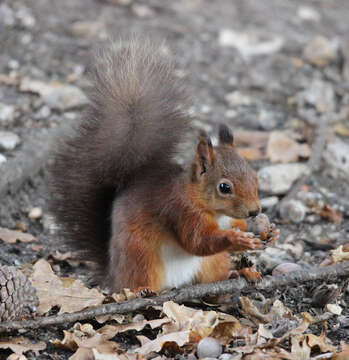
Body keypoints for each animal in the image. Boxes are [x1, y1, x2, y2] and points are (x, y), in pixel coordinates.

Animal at [49, 40, 272, 292]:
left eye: (255, 177)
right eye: (224, 188)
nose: (255, 211)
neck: (212, 210)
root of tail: (113, 276)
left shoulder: (226, 219)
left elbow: (234, 227)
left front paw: (266, 229)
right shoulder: (180, 211)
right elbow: (197, 242)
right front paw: (237, 239)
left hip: (210, 264)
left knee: (214, 277)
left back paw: (240, 272)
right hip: (141, 256)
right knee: (140, 280)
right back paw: (141, 292)